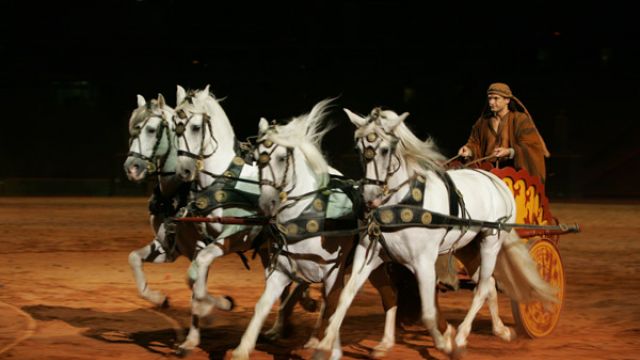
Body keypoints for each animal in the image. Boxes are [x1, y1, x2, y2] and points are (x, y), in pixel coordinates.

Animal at [174, 84, 314, 354]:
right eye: (174, 124)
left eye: (195, 127)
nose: (183, 171)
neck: (222, 178)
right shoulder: (202, 241)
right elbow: (194, 278)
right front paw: (191, 339)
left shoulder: (234, 237)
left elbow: (199, 272)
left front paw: (221, 305)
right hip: (269, 250)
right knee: (286, 286)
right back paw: (280, 326)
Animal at [230, 98, 398, 360]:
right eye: (256, 158)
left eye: (282, 158)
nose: (267, 203)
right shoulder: (280, 272)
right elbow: (263, 305)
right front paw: (242, 349)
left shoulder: (333, 275)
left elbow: (332, 308)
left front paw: (329, 349)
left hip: (375, 265)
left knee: (389, 296)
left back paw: (384, 344)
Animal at [318, 108, 556, 358]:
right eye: (358, 149)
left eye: (384, 149)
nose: (368, 198)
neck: (404, 203)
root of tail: (496, 181)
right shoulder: (370, 254)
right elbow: (346, 297)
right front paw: (325, 345)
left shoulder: (423, 262)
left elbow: (428, 311)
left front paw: (446, 343)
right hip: (468, 248)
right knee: (490, 285)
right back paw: (500, 330)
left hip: (491, 241)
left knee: (482, 288)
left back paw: (461, 336)